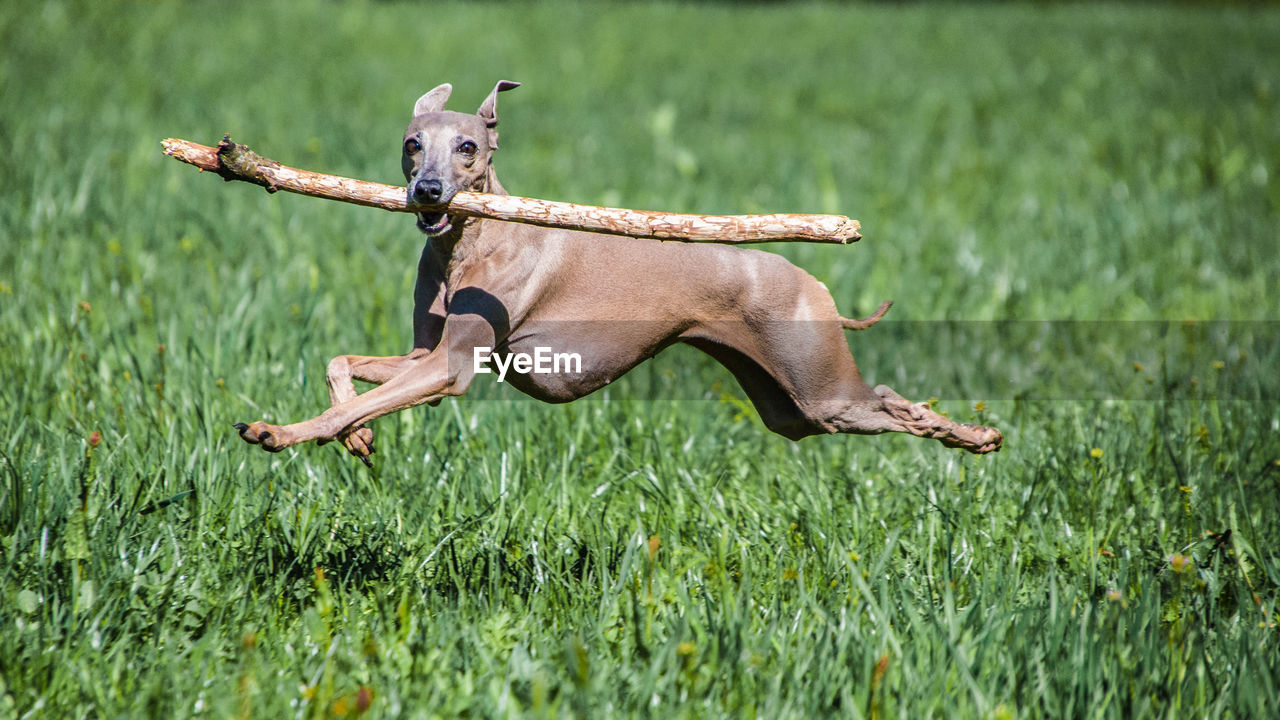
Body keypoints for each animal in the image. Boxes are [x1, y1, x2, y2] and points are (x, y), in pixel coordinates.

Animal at [238, 81, 998, 461]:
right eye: (411, 144)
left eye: (467, 148)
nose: (427, 193)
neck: (472, 243)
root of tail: (813, 283)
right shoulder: (427, 357)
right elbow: (342, 366)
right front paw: (356, 436)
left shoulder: (449, 370)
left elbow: (351, 398)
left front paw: (282, 433)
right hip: (788, 409)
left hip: (821, 389)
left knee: (891, 399)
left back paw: (971, 435)